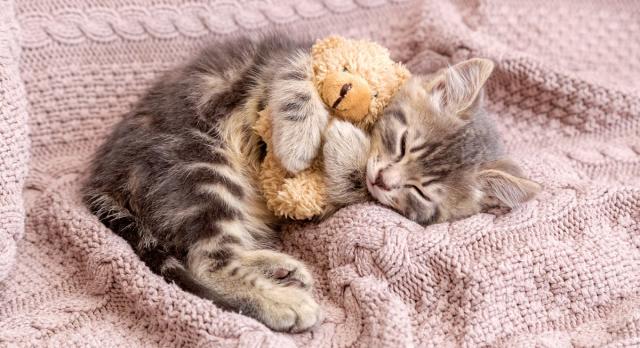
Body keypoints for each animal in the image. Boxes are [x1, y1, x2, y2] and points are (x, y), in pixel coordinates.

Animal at [82, 35, 330, 332]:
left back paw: (278, 268)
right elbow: (300, 68)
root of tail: (106, 178)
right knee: (207, 263)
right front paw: (298, 142)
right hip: (203, 169)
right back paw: (281, 301)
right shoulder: (280, 57)